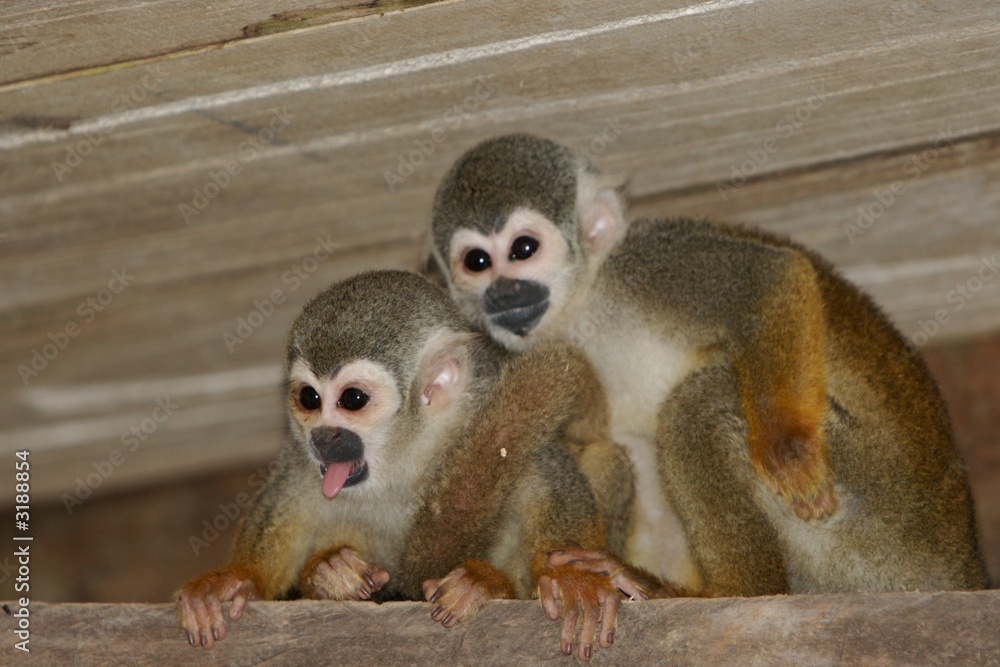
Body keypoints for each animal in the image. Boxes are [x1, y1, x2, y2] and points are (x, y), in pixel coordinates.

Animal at [177, 269, 660, 661]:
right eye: (309, 399)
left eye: (353, 399)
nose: (323, 437)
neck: (409, 455)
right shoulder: (301, 463)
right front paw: (239, 580)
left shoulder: (488, 416)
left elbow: (549, 480)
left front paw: (568, 574)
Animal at [427, 133, 989, 597]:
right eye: (477, 262)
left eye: (523, 249)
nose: (505, 293)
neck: (581, 305)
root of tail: (963, 561)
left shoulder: (645, 264)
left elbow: (767, 276)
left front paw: (786, 448)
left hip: (881, 502)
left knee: (701, 400)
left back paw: (730, 590)